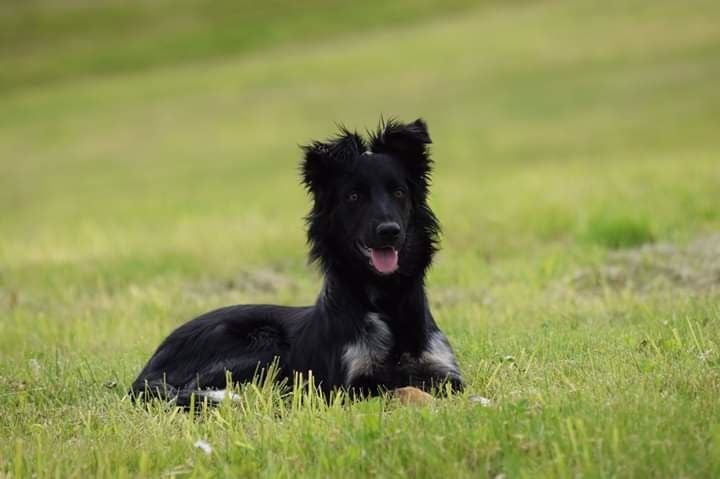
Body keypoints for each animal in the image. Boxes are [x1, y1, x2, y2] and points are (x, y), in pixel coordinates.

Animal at [131, 117, 464, 404]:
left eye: (398, 192)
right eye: (354, 197)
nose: (389, 232)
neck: (388, 300)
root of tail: (152, 362)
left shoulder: (444, 372)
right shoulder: (348, 386)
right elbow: (403, 389)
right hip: (261, 342)